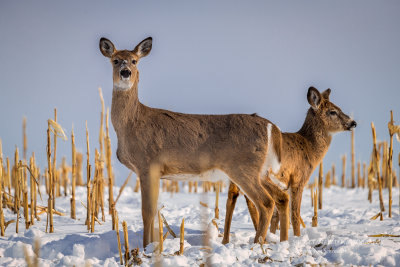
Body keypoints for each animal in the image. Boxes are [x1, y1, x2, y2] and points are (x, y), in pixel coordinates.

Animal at [222, 87, 356, 245]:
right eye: (333, 111)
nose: (353, 123)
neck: (309, 147)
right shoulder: (298, 179)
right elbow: (295, 214)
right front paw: (296, 238)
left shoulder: (283, 183)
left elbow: (276, 217)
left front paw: (273, 236)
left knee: (233, 197)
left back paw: (226, 240)